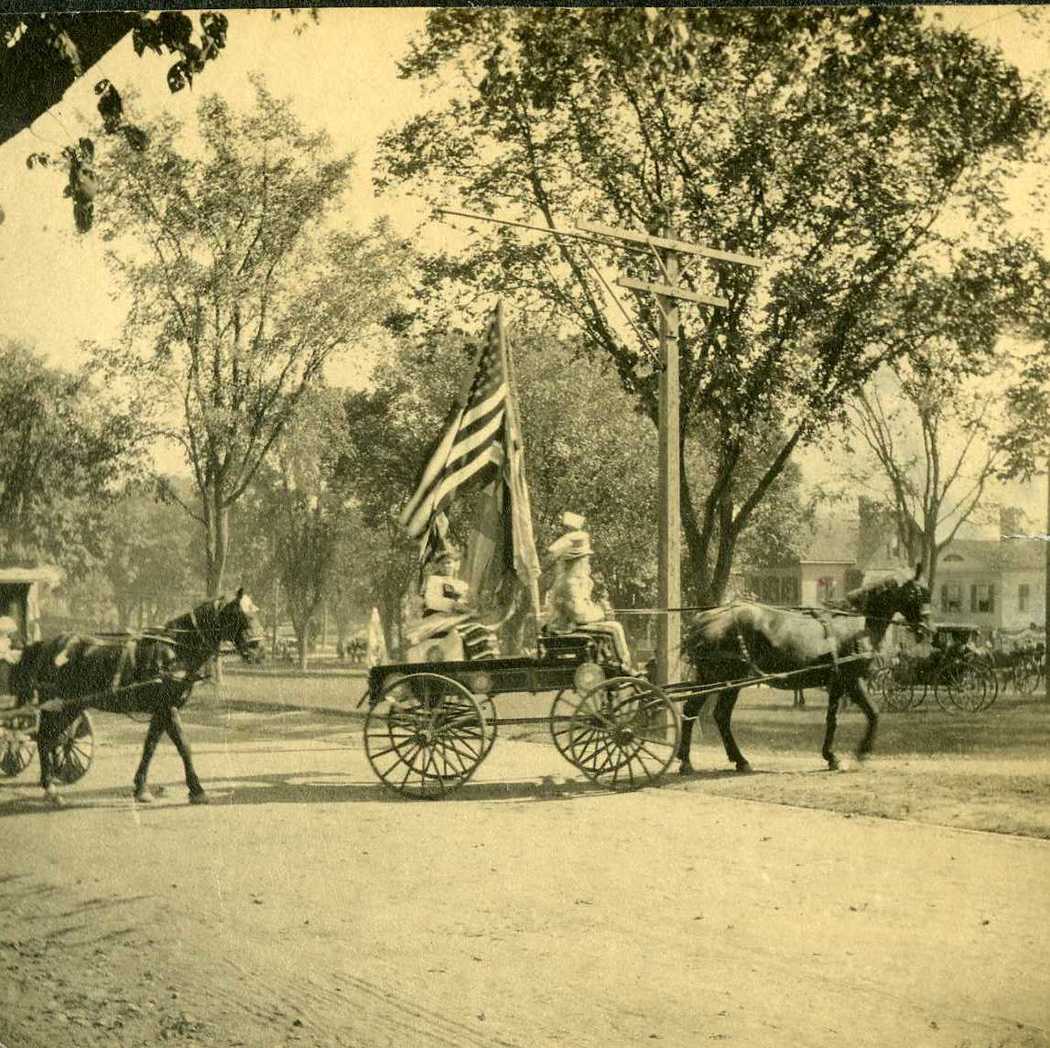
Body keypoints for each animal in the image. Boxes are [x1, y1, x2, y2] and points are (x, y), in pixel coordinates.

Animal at [365, 571, 932, 798]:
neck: (851, 623)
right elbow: (865, 716)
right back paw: (693, 760)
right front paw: (850, 754)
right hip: (726, 674)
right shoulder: (847, 680)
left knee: (707, 717)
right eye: (917, 594)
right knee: (699, 715)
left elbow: (843, 717)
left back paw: (716, 759)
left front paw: (839, 754)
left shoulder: (838, 684)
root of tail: (707, 617)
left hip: (729, 677)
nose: (928, 629)